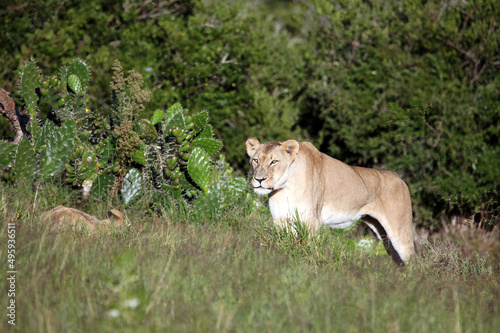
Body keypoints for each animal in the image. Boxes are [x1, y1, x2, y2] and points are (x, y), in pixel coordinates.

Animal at [245, 137, 414, 264]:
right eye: (255, 160)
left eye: (274, 162)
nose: (259, 179)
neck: (285, 187)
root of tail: (398, 177)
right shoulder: (281, 220)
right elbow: (285, 244)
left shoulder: (311, 221)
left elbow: (309, 248)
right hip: (383, 234)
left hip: (400, 232)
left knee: (413, 260)